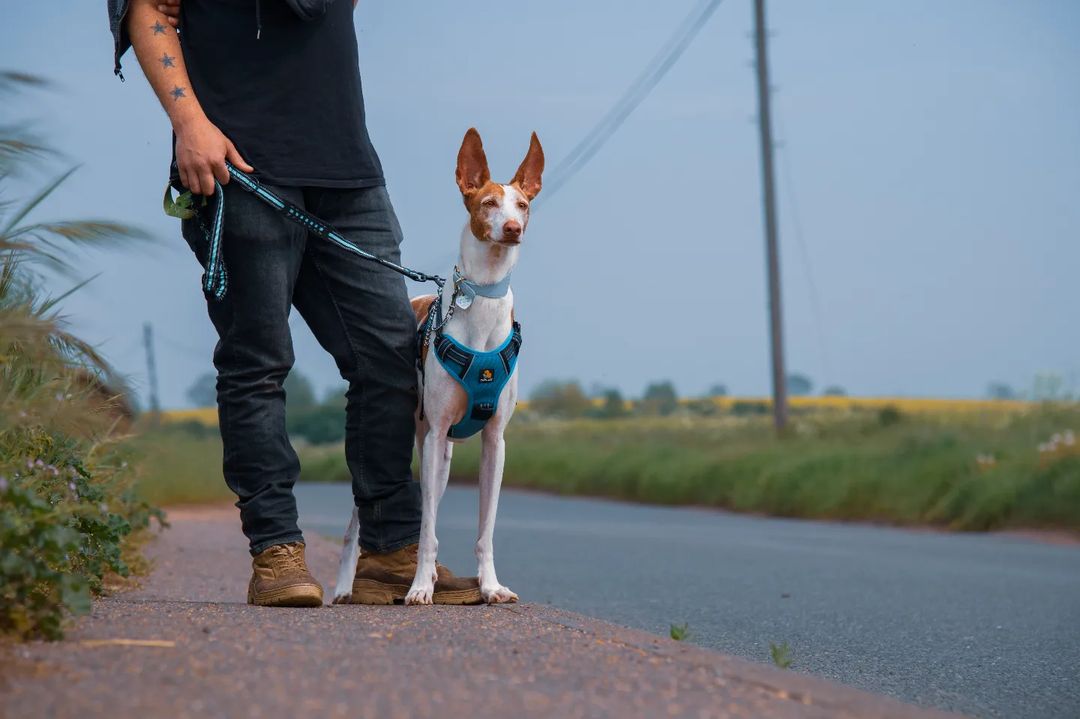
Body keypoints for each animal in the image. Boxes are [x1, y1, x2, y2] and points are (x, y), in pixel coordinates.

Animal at [332, 127, 544, 604]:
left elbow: (486, 529)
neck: (482, 296)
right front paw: (418, 588)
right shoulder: (433, 438)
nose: (512, 229)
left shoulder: (494, 442)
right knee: (359, 522)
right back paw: (345, 586)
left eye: (522, 205)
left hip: (443, 455)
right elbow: (426, 529)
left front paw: (490, 587)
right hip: (409, 445)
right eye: (488, 203)